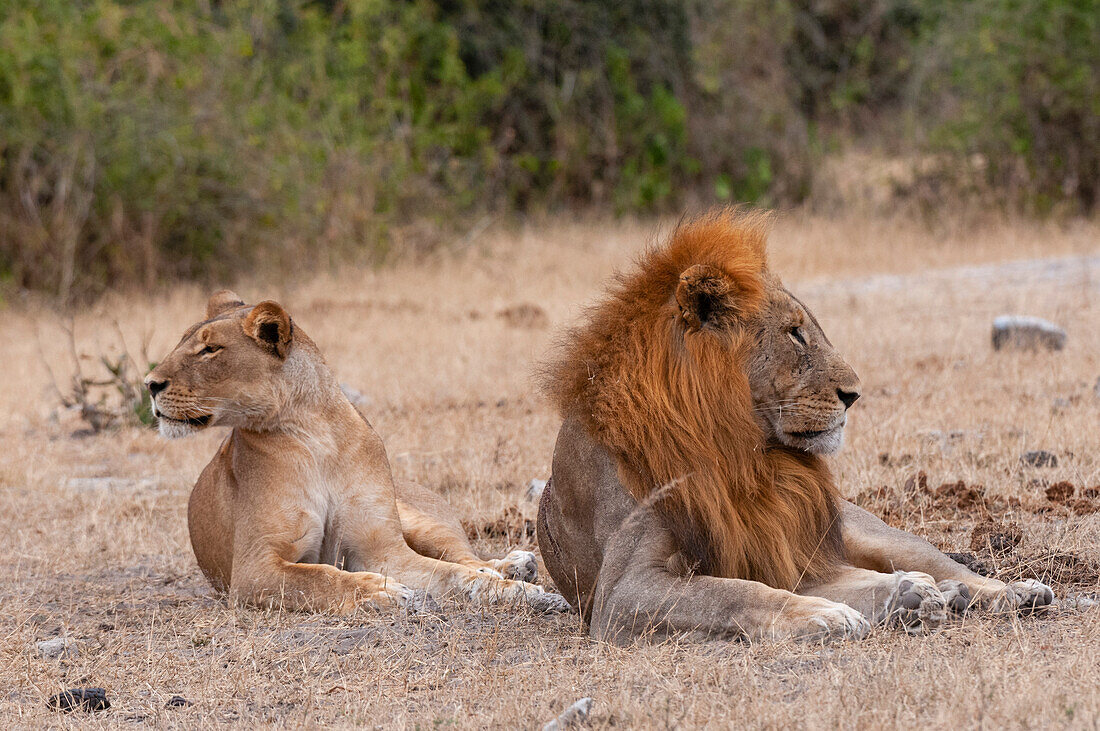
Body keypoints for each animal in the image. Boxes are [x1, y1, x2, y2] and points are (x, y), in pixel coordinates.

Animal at [145, 294, 567, 611]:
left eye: (210, 349)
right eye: (184, 343)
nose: (149, 384)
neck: (318, 435)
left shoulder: (381, 549)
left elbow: (450, 573)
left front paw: (514, 591)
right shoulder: (251, 568)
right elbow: (321, 577)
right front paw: (381, 590)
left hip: (419, 518)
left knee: (467, 557)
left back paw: (515, 567)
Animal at [536, 207, 1051, 641]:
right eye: (795, 333)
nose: (855, 393)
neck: (738, 451)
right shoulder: (621, 591)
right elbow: (732, 592)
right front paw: (826, 613)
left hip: (864, 529)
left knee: (940, 565)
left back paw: (1005, 592)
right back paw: (918, 596)